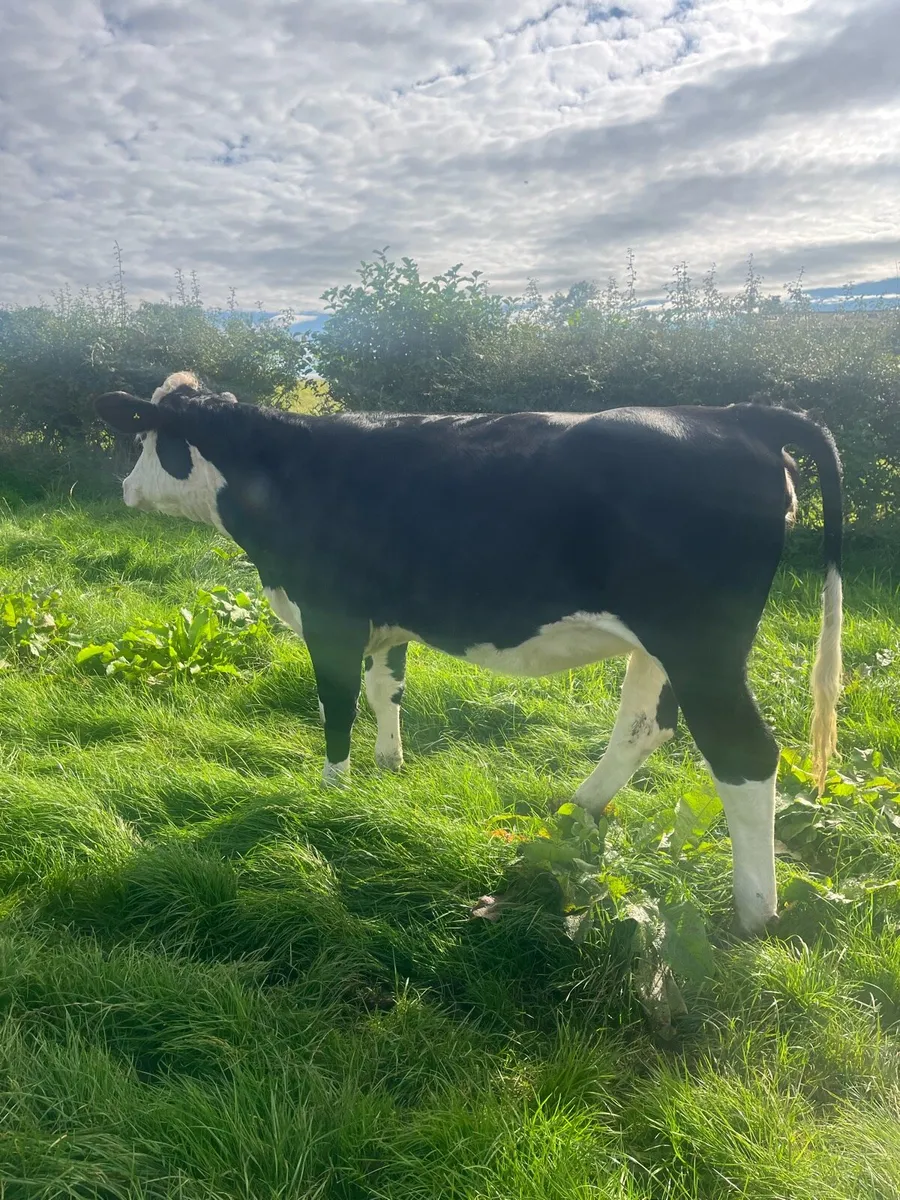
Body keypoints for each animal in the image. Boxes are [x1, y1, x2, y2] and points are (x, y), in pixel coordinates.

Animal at [96, 371, 843, 936]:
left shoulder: (330, 617)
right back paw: (576, 807)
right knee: (644, 725)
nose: (123, 487)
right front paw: (389, 766)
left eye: (148, 437)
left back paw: (755, 913)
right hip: (662, 646)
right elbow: (385, 690)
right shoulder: (388, 622)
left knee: (744, 754)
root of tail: (737, 414)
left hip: (701, 644)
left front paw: (331, 793)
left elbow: (336, 704)